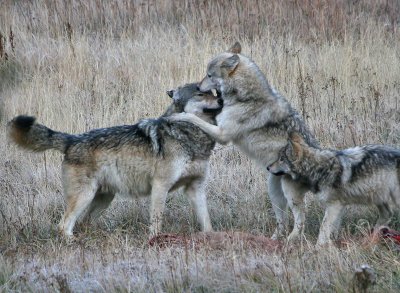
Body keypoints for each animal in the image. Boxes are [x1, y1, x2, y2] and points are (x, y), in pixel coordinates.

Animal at [8, 82, 222, 237]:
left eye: (211, 91)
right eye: (200, 94)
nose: (221, 98)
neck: (187, 135)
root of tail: (72, 139)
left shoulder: (196, 187)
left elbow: (207, 222)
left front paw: (212, 239)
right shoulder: (160, 186)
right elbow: (156, 223)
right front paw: (155, 242)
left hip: (103, 198)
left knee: (82, 223)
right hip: (85, 196)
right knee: (63, 225)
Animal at [170, 42, 320, 241]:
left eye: (209, 75)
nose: (199, 87)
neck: (244, 96)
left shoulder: (222, 134)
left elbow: (193, 117)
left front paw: (179, 115)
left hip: (290, 194)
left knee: (300, 219)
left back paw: (291, 240)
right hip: (274, 191)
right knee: (282, 221)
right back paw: (273, 240)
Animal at [268, 132, 400, 244]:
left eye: (281, 159)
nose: (268, 167)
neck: (319, 168)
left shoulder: (334, 205)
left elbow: (323, 227)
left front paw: (318, 248)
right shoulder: (339, 206)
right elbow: (332, 229)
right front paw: (333, 244)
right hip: (378, 198)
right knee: (387, 214)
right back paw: (372, 238)